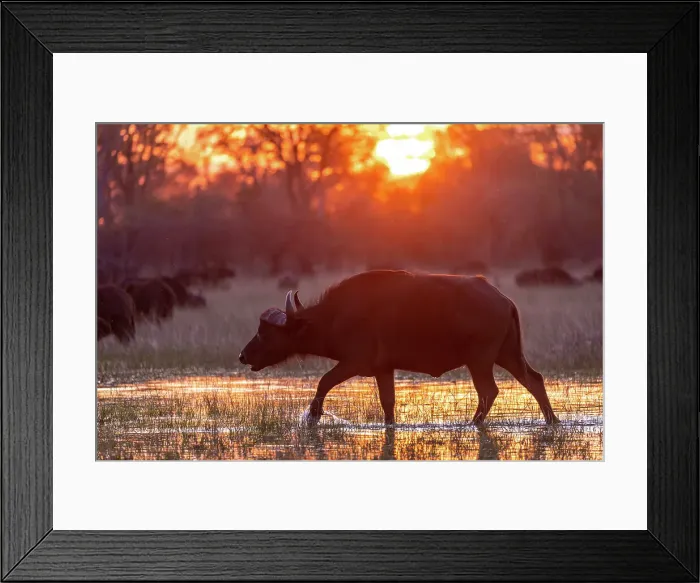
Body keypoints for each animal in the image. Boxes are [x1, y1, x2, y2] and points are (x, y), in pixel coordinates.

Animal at [240, 270, 559, 426]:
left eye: (264, 332)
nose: (243, 355)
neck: (337, 315)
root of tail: (504, 299)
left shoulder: (354, 362)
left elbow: (324, 382)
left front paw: (313, 416)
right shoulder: (384, 369)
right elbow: (388, 403)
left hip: (480, 360)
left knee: (489, 391)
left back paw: (474, 424)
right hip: (508, 354)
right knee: (533, 379)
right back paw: (552, 420)